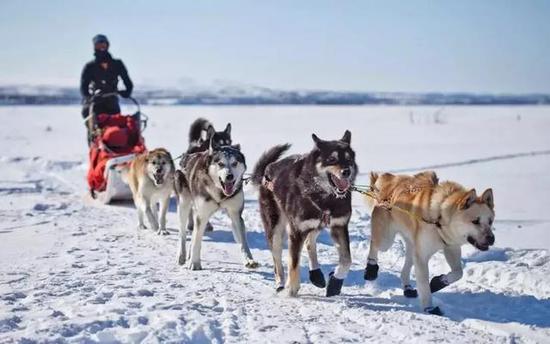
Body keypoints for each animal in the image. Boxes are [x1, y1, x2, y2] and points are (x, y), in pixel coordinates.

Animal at [176, 137, 260, 268]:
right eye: (220, 164)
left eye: (235, 163)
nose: (229, 176)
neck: (220, 193)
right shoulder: (202, 215)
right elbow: (196, 240)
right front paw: (194, 263)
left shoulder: (235, 214)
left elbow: (243, 241)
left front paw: (249, 260)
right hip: (184, 204)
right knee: (183, 234)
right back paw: (182, 255)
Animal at [252, 130, 360, 296]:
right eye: (332, 159)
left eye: (348, 159)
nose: (346, 172)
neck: (325, 197)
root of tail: (268, 170)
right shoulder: (296, 231)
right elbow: (293, 262)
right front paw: (292, 289)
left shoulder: (339, 226)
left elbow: (347, 260)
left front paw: (335, 281)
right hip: (275, 229)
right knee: (277, 260)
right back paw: (281, 284)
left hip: (318, 224)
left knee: (309, 242)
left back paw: (316, 274)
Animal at [364, 171, 498, 316]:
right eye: (475, 221)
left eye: (490, 221)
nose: (491, 239)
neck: (440, 219)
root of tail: (389, 179)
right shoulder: (422, 257)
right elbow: (423, 284)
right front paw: (429, 307)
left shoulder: (451, 248)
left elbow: (459, 272)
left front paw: (438, 282)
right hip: (386, 240)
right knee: (374, 244)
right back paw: (371, 268)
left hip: (412, 247)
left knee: (406, 267)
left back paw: (407, 288)